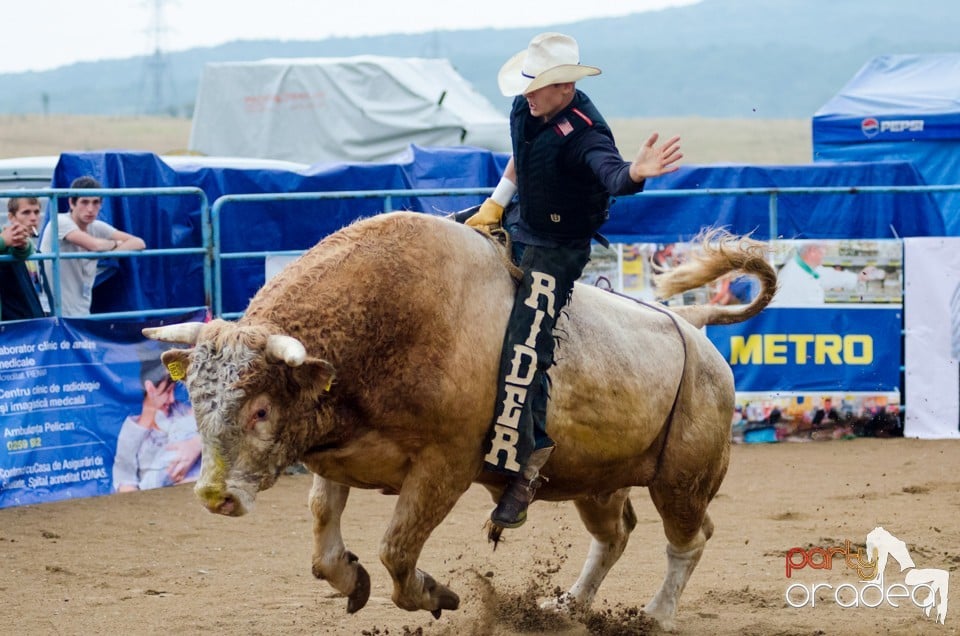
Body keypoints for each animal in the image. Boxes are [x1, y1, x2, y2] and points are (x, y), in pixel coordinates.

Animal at [146, 211, 780, 628]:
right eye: (194, 399)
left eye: (259, 408)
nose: (215, 495)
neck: (389, 320)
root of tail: (692, 326)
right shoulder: (338, 450)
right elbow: (325, 537)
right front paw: (351, 579)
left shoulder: (444, 467)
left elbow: (397, 550)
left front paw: (434, 595)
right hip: (597, 482)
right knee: (615, 534)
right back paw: (569, 605)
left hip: (683, 480)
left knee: (689, 539)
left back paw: (657, 612)